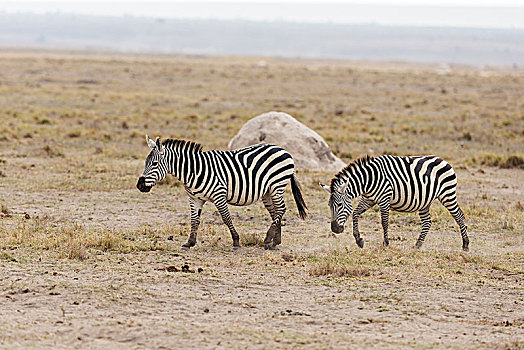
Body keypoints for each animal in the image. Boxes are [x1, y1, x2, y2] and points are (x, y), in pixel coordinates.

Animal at [136, 135, 308, 250]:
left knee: (281, 209)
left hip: (277, 186)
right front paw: (189, 243)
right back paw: (274, 241)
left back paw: (267, 240)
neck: (193, 170)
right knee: (275, 212)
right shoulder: (194, 198)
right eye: (145, 162)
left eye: (155, 163)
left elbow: (226, 218)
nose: (139, 185)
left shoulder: (219, 195)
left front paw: (236, 241)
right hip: (267, 192)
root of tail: (283, 149)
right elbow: (194, 221)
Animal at [320, 154, 470, 250]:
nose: (335, 229)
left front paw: (386, 243)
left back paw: (465, 244)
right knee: (427, 222)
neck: (368, 180)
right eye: (329, 206)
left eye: (339, 205)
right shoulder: (368, 199)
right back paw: (417, 245)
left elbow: (384, 222)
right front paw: (359, 240)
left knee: (458, 216)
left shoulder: (384, 199)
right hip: (425, 202)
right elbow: (355, 213)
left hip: (447, 194)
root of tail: (443, 160)